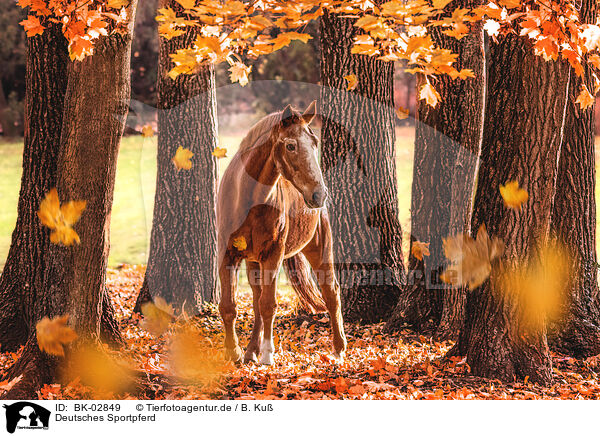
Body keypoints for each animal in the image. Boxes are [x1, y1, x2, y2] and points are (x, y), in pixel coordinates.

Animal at [217, 102, 346, 364]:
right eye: (290, 145)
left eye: (315, 143)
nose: (319, 194)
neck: (247, 199)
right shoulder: (226, 254)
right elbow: (229, 305)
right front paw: (233, 352)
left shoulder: (273, 255)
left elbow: (269, 304)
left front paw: (268, 354)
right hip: (253, 262)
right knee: (256, 299)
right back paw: (250, 350)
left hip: (320, 249)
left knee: (331, 292)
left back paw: (339, 348)